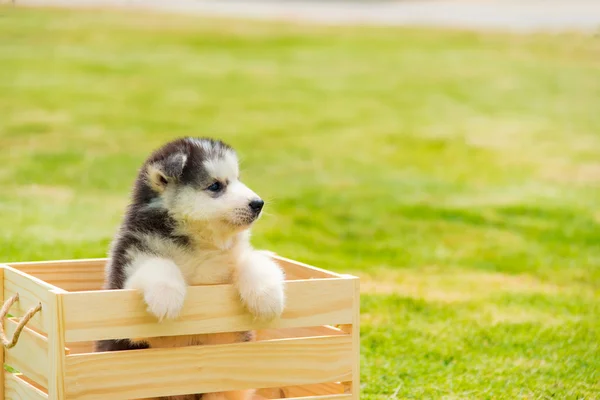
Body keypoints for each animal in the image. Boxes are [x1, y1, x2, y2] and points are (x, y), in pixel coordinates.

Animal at [96, 138, 286, 400]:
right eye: (215, 186)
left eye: (237, 179)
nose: (258, 203)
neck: (201, 246)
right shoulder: (129, 266)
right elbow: (160, 264)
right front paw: (166, 299)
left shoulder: (237, 258)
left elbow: (256, 261)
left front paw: (268, 297)